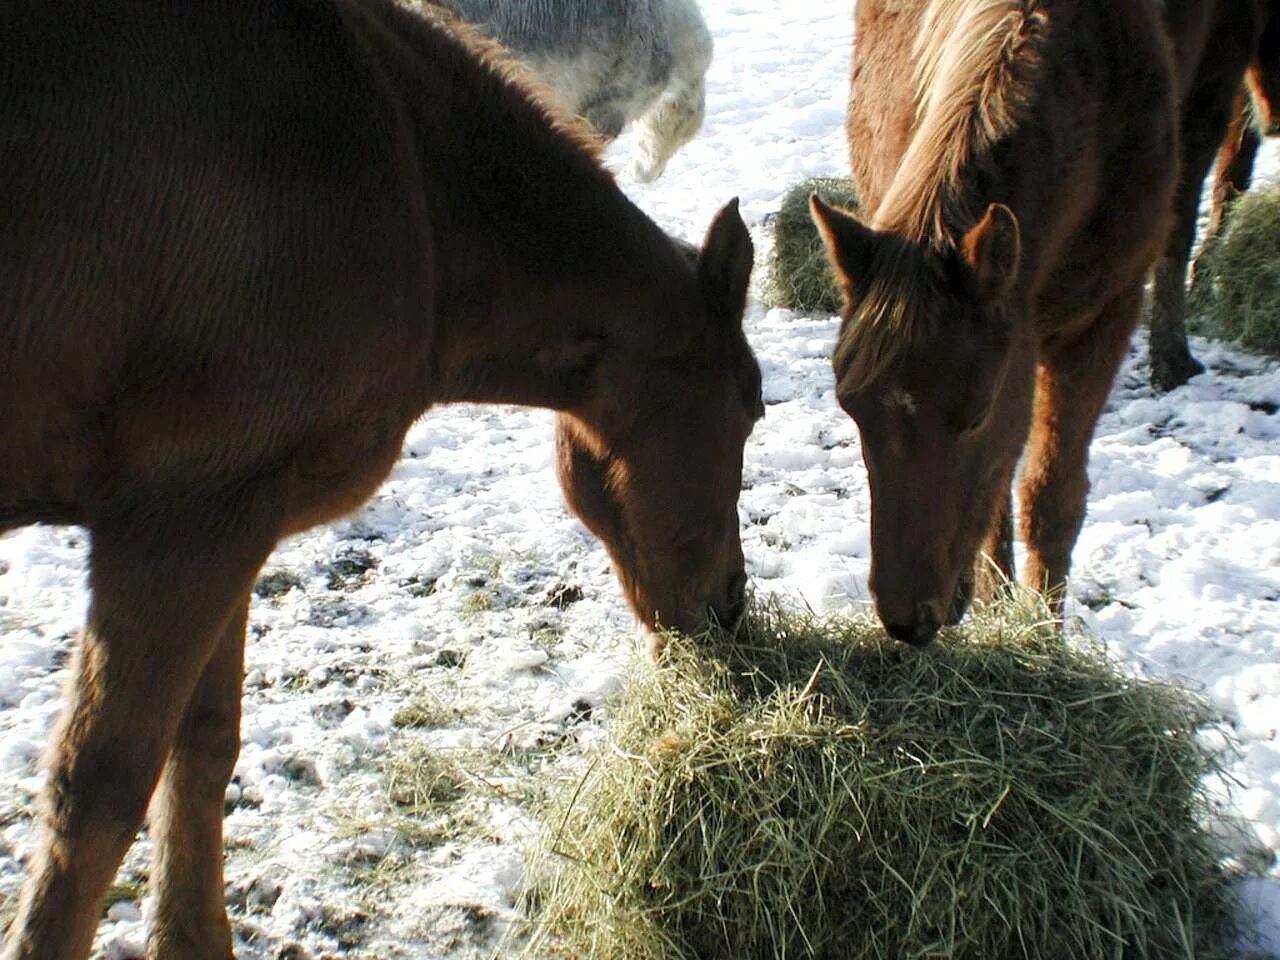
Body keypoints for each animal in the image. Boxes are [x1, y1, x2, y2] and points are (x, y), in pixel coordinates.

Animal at [814, 0, 1172, 650]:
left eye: (977, 414)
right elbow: (996, 502)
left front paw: (1047, 639)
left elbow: (1051, 501)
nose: (905, 619)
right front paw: (996, 603)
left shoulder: (1104, 319)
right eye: (852, 410)